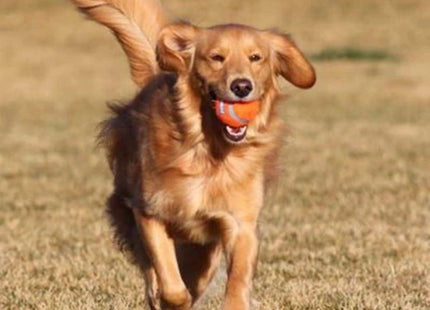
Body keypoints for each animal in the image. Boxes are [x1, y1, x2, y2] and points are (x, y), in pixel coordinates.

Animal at [71, 0, 316, 310]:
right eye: (216, 57)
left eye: (255, 57)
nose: (242, 86)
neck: (208, 151)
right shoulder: (149, 212)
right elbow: (170, 284)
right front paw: (168, 296)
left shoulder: (241, 224)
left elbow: (237, 283)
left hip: (204, 253)